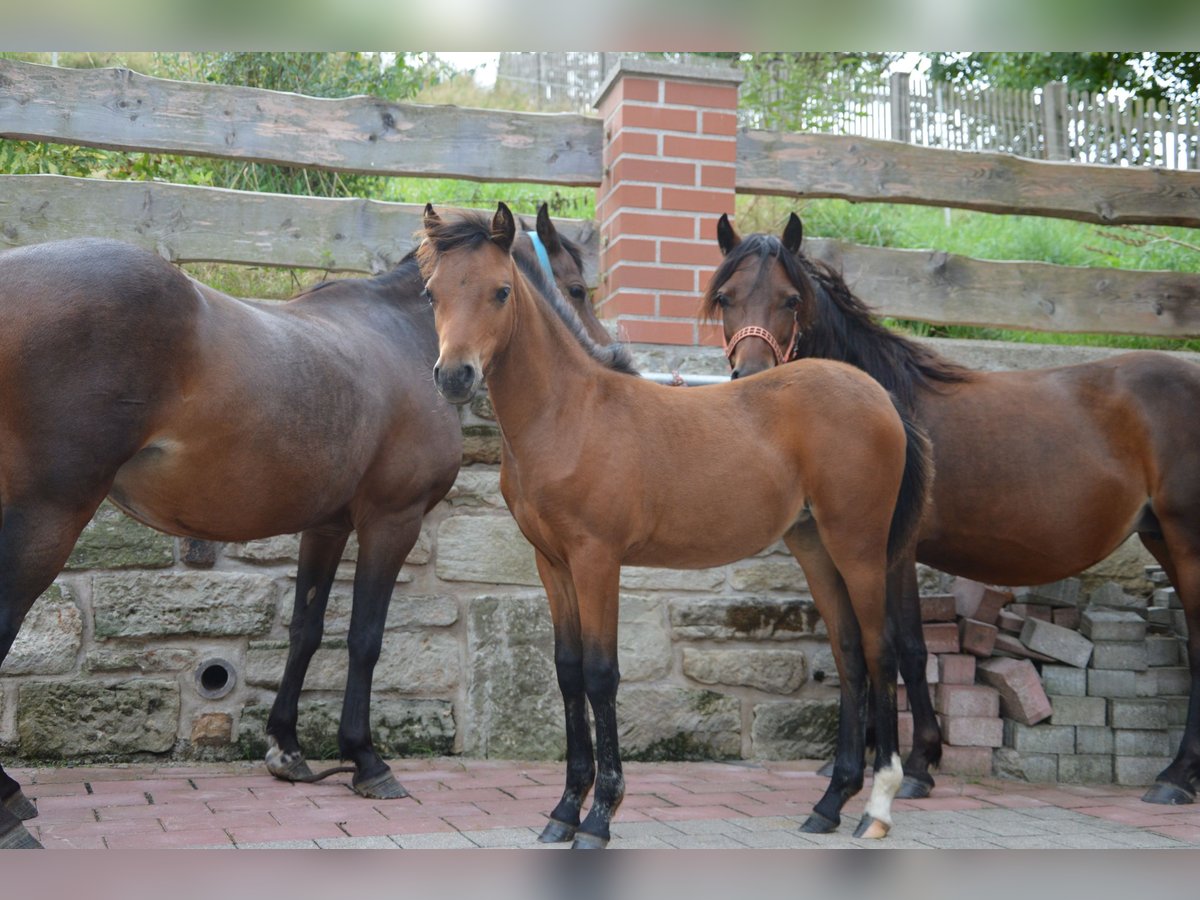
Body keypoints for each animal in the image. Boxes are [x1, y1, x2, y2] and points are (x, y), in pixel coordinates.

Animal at [0, 206, 600, 854]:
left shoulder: (327, 527)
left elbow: (305, 631)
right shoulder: (392, 519)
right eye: (576, 289)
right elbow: (364, 636)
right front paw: (366, 761)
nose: (603, 355)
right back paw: (10, 809)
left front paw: (286, 748)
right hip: (51, 514)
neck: (399, 335)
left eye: (501, 291)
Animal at [417, 202, 931, 844]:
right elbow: (566, 673)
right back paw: (829, 803)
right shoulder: (552, 562)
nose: (454, 377)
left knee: (881, 652)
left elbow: (600, 674)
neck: (569, 413)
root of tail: (881, 396)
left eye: (501, 291)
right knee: (849, 656)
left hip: (859, 547)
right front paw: (563, 811)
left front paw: (600, 816)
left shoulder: (597, 559)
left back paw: (877, 808)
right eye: (432, 292)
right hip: (815, 545)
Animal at [705, 213, 1200, 811]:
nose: (752, 378)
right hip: (1162, 538)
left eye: (791, 299)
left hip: (1189, 539)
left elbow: (905, 648)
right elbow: (866, 641)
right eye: (725, 297)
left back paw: (1175, 777)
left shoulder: (894, 552)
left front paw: (916, 764)